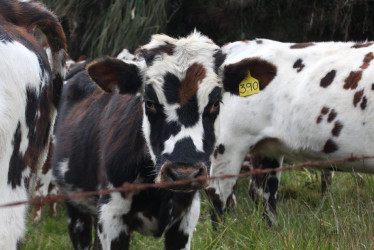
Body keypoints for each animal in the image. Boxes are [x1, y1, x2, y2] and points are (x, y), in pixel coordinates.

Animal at [51, 31, 226, 250]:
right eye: (149, 102)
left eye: (215, 103)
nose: (183, 173)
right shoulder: (111, 217)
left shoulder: (185, 218)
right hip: (76, 209)